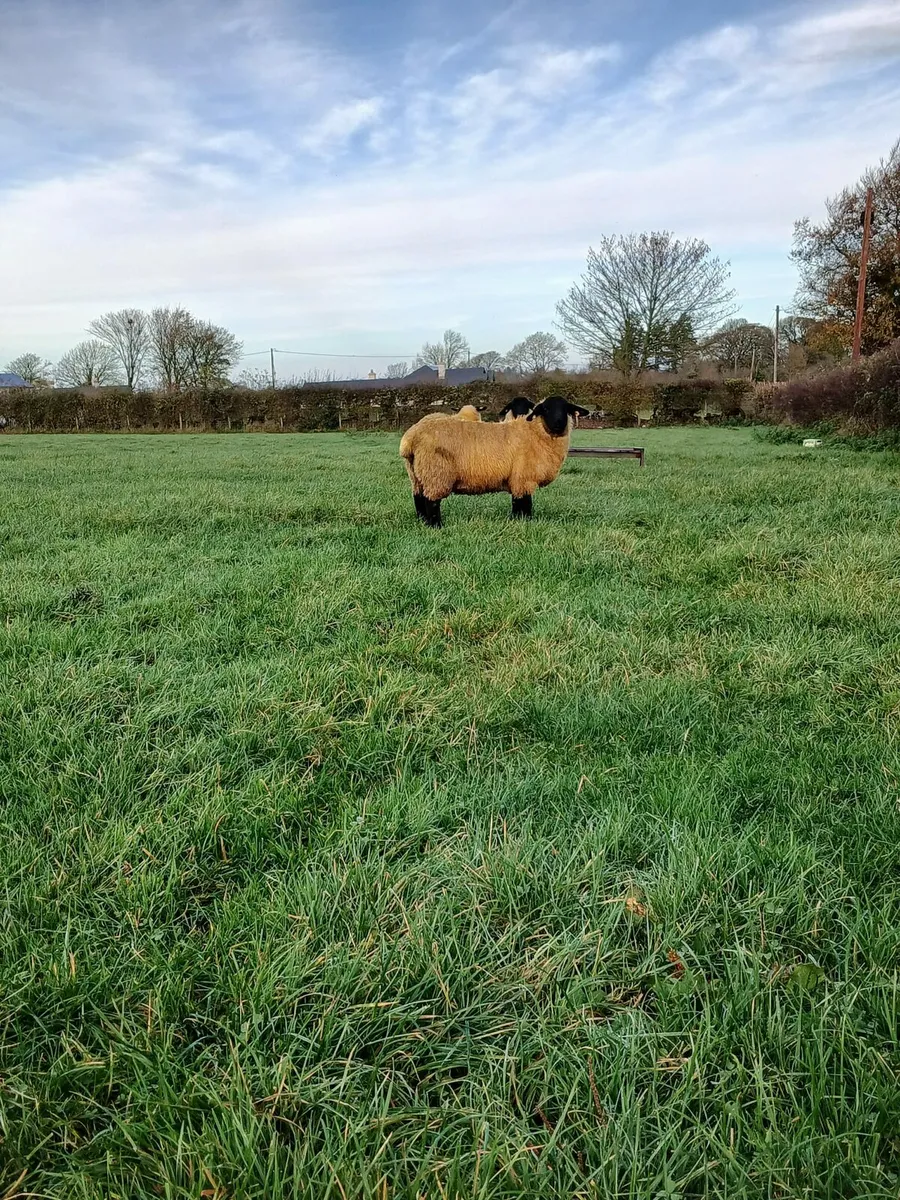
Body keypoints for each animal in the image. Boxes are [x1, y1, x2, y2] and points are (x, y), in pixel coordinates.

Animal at [399, 394, 590, 527]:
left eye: (566, 408)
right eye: (545, 409)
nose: (558, 423)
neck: (534, 433)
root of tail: (410, 438)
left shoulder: (516, 479)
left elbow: (517, 503)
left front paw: (515, 521)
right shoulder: (523, 478)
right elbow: (525, 504)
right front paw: (526, 522)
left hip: (416, 473)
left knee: (418, 498)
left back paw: (422, 522)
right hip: (436, 473)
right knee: (431, 502)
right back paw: (436, 526)